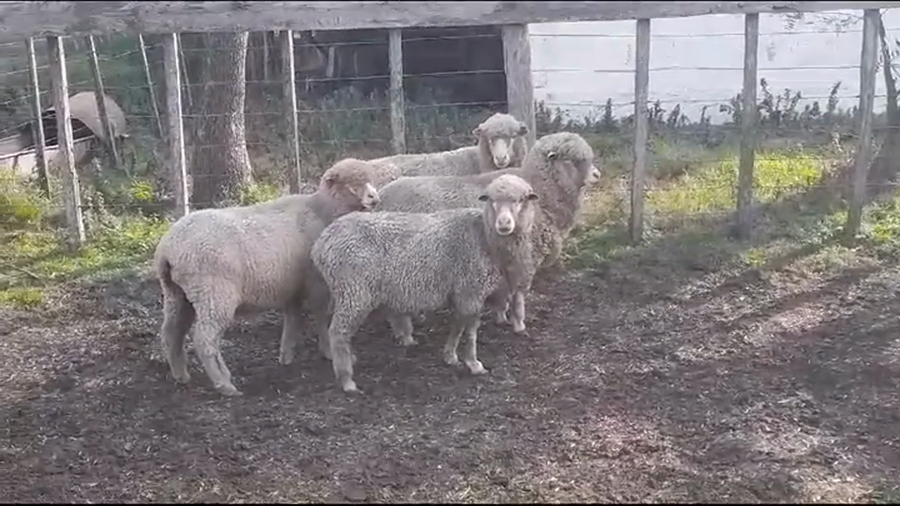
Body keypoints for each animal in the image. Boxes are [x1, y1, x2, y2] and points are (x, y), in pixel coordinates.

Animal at [153, 158, 381, 396]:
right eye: (351, 183)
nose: (374, 198)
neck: (321, 211)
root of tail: (168, 248)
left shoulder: (292, 285)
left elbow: (293, 317)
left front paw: (286, 354)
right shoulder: (316, 282)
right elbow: (321, 318)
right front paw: (327, 351)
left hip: (177, 294)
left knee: (171, 332)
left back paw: (180, 375)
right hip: (214, 293)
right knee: (204, 339)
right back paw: (225, 384)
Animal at [310, 174, 539, 393]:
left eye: (521, 200)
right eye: (491, 200)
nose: (504, 224)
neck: (483, 236)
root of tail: (322, 243)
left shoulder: (462, 292)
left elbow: (458, 326)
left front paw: (450, 356)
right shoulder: (471, 290)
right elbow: (471, 331)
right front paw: (474, 363)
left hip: (341, 291)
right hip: (354, 292)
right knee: (338, 332)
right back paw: (346, 379)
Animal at [374, 131, 600, 337]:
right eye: (572, 160)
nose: (597, 175)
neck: (540, 191)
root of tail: (381, 197)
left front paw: (501, 315)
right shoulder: (523, 257)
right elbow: (517, 294)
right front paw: (518, 323)